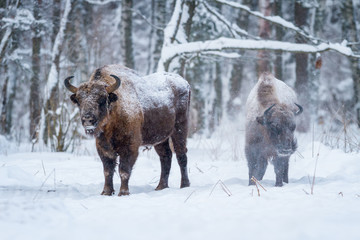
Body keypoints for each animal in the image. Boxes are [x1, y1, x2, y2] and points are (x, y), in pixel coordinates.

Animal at [64, 64, 191, 196]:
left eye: (102, 99)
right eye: (79, 101)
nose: (87, 119)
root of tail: (184, 83)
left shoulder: (130, 147)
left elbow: (124, 170)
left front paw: (123, 193)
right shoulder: (103, 148)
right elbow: (107, 171)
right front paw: (106, 192)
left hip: (179, 129)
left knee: (181, 155)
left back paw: (184, 185)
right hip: (160, 138)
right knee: (165, 156)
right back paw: (161, 187)